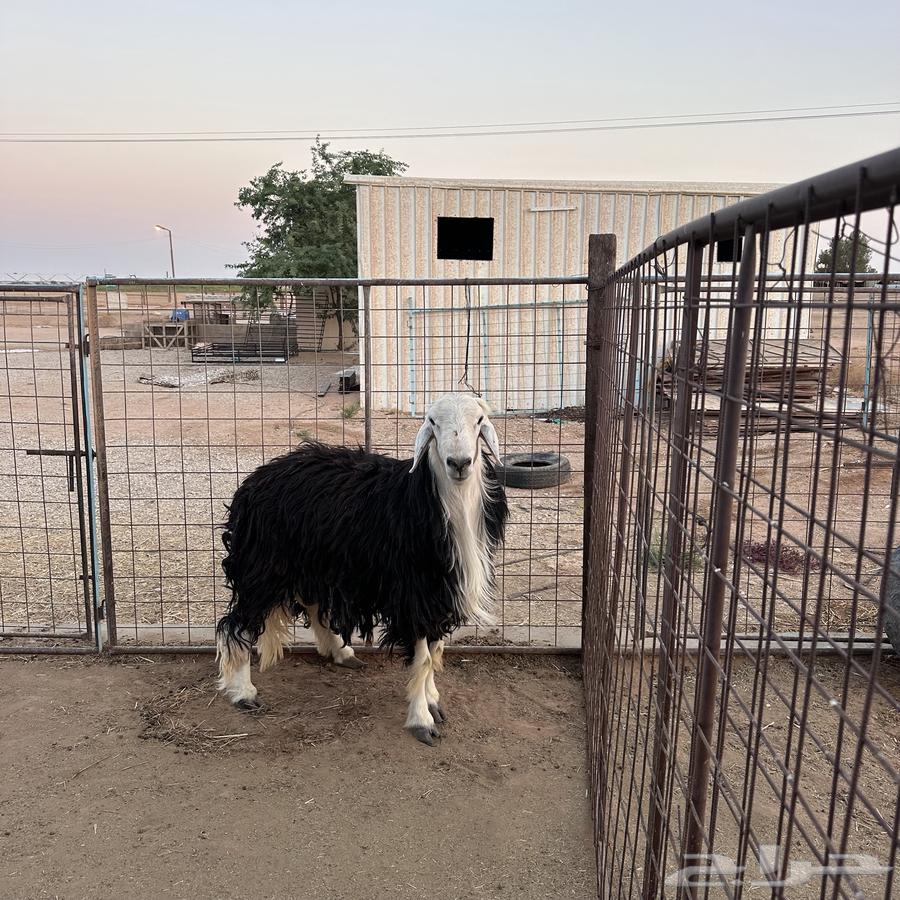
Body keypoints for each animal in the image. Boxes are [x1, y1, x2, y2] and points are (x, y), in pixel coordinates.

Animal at [215, 392, 509, 744]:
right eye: (432, 422)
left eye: (479, 421)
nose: (460, 463)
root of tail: (255, 481)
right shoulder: (413, 593)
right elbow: (424, 659)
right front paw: (421, 720)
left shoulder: (439, 593)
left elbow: (435, 650)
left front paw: (433, 701)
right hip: (264, 566)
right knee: (236, 623)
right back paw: (243, 692)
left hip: (316, 562)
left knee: (312, 605)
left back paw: (341, 653)